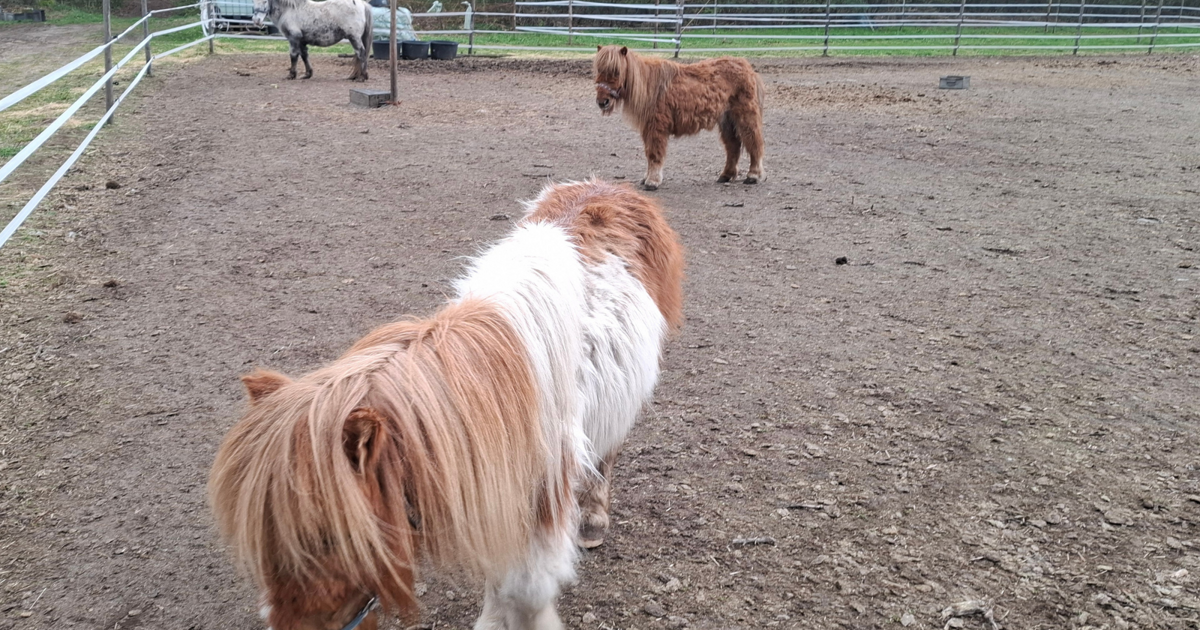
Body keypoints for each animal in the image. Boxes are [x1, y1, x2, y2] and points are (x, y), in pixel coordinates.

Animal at [208, 179, 684, 630]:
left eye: (329, 537)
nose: (289, 626)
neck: (495, 391)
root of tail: (610, 187)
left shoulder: (540, 499)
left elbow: (528, 594)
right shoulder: (493, 488)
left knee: (608, 453)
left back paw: (592, 521)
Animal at [594, 45, 766, 191]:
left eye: (616, 72)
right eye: (598, 71)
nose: (603, 102)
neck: (651, 87)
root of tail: (746, 67)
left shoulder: (656, 127)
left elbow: (654, 154)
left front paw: (652, 181)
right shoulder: (648, 128)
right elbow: (649, 153)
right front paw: (646, 178)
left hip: (745, 115)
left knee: (753, 141)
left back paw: (753, 175)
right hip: (726, 120)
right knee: (733, 146)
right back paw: (726, 175)